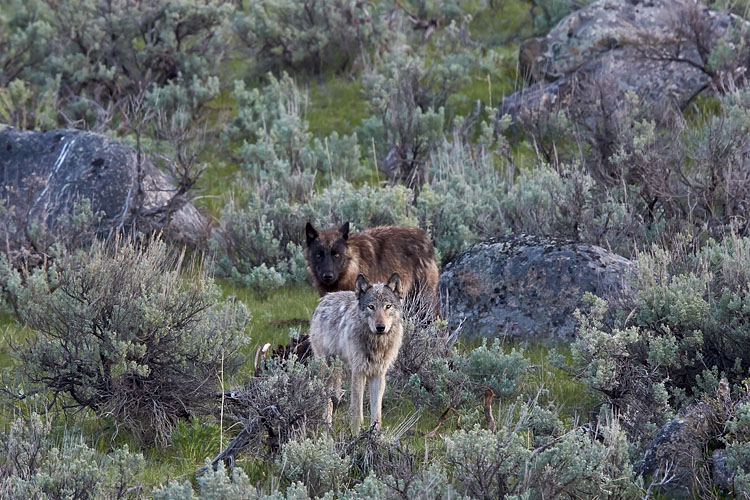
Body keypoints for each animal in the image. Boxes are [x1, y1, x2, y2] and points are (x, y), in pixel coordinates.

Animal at [308, 272, 404, 432]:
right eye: (371, 307)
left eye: (388, 306)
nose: (380, 327)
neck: (376, 344)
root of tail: (326, 297)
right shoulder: (358, 372)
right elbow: (357, 410)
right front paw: (356, 434)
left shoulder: (378, 374)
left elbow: (377, 412)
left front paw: (375, 435)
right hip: (328, 370)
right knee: (326, 398)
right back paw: (327, 426)